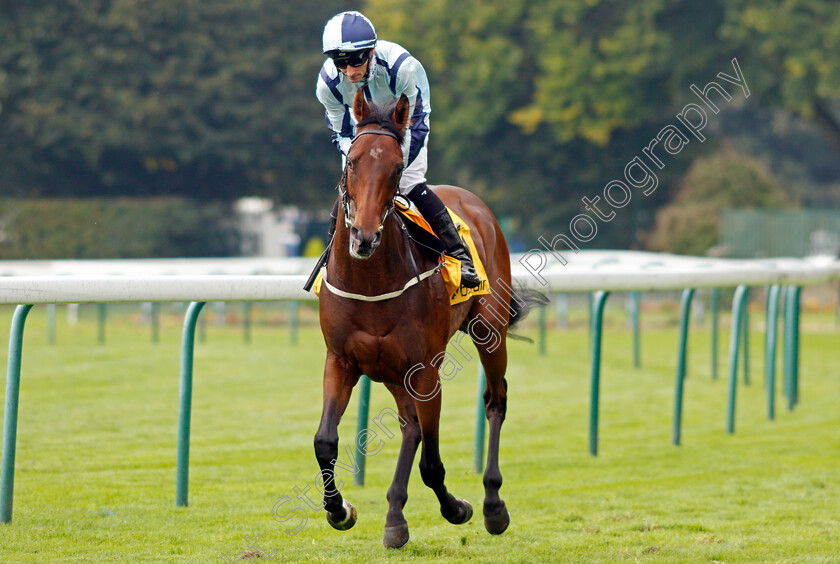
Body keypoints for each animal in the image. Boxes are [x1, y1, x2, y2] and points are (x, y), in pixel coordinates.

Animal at [316, 88, 544, 548]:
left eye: (396, 167)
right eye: (353, 161)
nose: (364, 237)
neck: (371, 281)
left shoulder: (425, 369)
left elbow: (432, 463)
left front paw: (458, 508)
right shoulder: (341, 360)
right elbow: (325, 440)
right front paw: (340, 509)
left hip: (488, 331)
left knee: (494, 401)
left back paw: (492, 503)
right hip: (390, 371)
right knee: (410, 426)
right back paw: (394, 515)